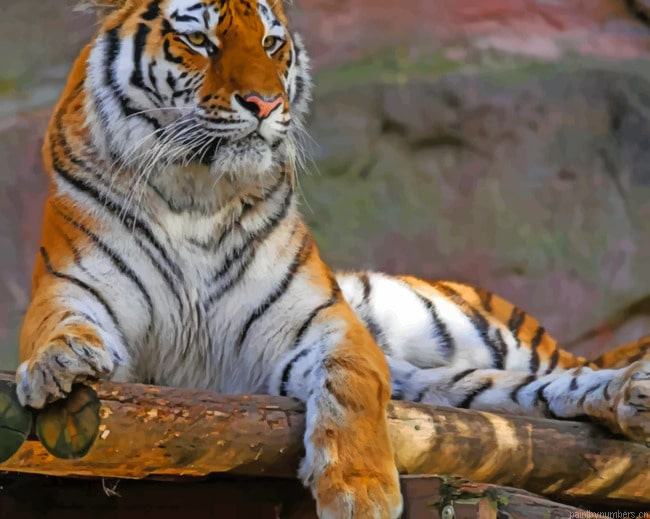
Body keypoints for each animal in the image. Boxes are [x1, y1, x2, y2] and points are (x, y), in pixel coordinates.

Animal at [10, 0, 650, 518]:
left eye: (271, 44)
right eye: (199, 40)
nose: (265, 102)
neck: (196, 192)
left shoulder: (324, 324)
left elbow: (351, 387)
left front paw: (360, 494)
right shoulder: (71, 288)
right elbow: (58, 328)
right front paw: (60, 364)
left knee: (568, 369)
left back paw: (631, 390)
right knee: (533, 394)